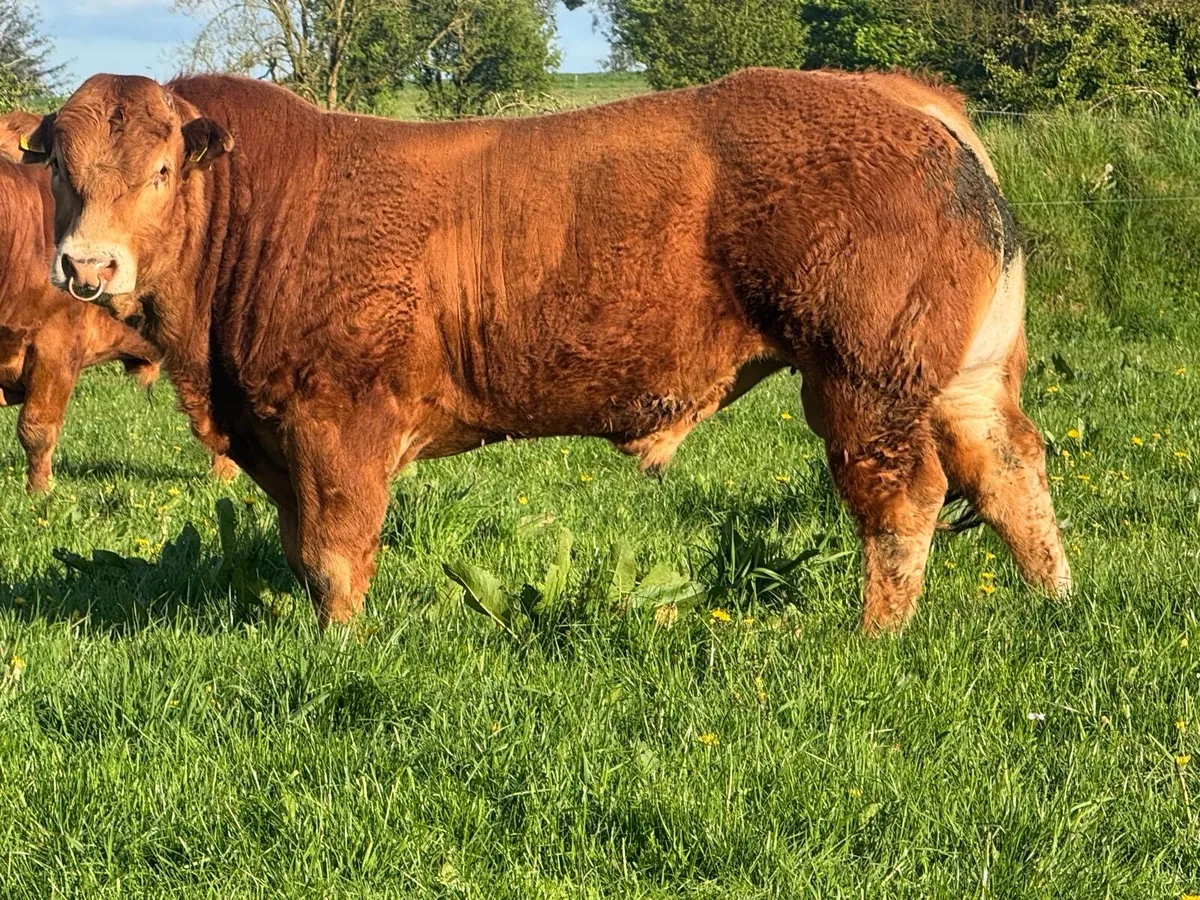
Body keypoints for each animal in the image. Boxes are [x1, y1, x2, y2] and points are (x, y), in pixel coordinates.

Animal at [10, 68, 1070, 633]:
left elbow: (335, 550)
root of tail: (903, 99)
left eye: (159, 170)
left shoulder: (338, 418)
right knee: (1010, 468)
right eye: (61, 168)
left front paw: (340, 645)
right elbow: (304, 547)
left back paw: (874, 636)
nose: (87, 264)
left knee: (905, 500)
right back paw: (1053, 604)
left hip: (863, 381)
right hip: (963, 379)